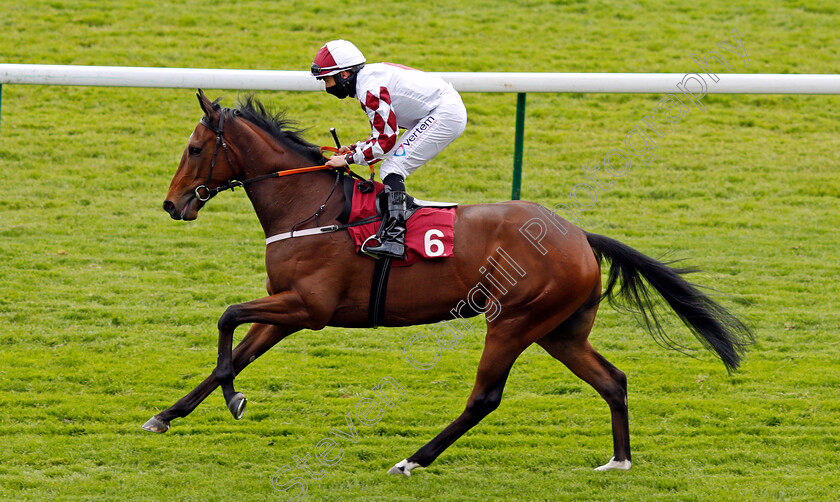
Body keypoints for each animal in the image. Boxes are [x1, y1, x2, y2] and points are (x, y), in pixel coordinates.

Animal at [141, 89, 752, 474]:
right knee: (613, 380)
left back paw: (413, 459)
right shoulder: (286, 308)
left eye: (194, 148)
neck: (308, 205)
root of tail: (578, 234)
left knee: (485, 397)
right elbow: (235, 353)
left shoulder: (307, 308)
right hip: (560, 331)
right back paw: (619, 459)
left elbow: (227, 319)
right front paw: (168, 415)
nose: (172, 204)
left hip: (514, 320)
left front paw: (232, 399)